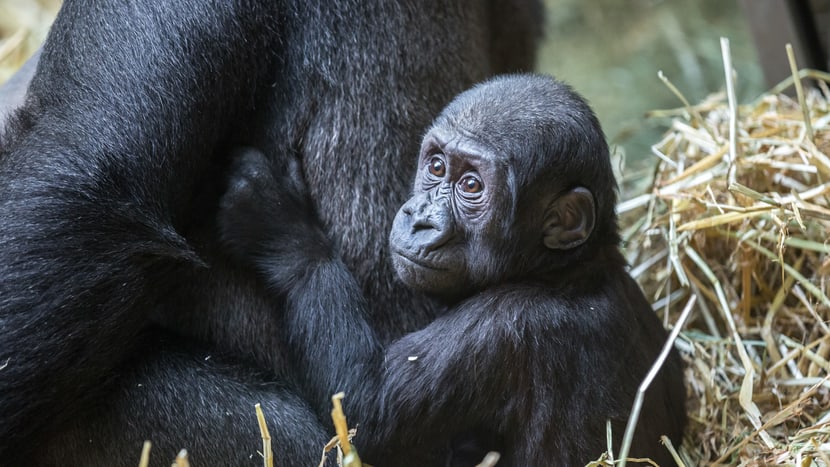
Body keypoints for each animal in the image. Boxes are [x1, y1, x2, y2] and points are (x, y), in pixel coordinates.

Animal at [218, 75, 684, 466]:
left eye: (472, 186)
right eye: (437, 166)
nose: (421, 219)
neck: (563, 269)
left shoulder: (506, 325)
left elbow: (365, 413)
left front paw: (281, 227)